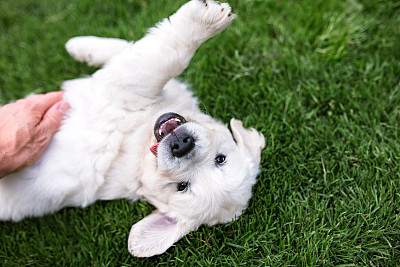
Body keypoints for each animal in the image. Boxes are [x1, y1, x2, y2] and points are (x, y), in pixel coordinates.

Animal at [0, 0, 264, 260]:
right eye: (221, 159)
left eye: (181, 186)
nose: (182, 145)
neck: (139, 153)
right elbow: (128, 49)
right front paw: (79, 46)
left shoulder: (125, 89)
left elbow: (166, 57)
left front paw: (203, 19)